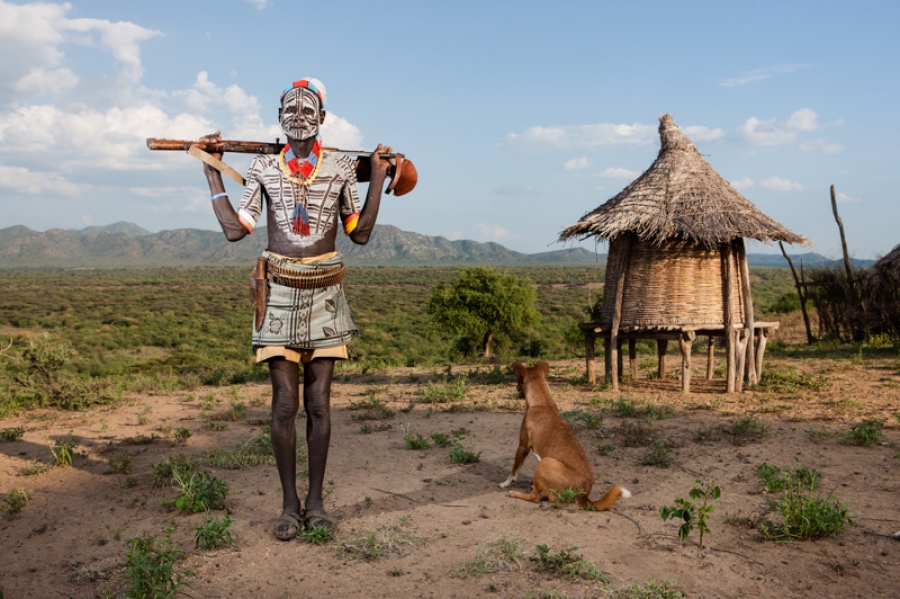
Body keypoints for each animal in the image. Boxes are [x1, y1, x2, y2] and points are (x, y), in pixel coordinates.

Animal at [502, 360, 628, 510]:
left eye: (517, 380)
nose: (516, 389)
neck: (543, 402)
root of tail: (583, 495)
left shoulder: (523, 446)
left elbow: (514, 470)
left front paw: (505, 483)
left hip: (544, 462)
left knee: (536, 498)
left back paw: (515, 493)